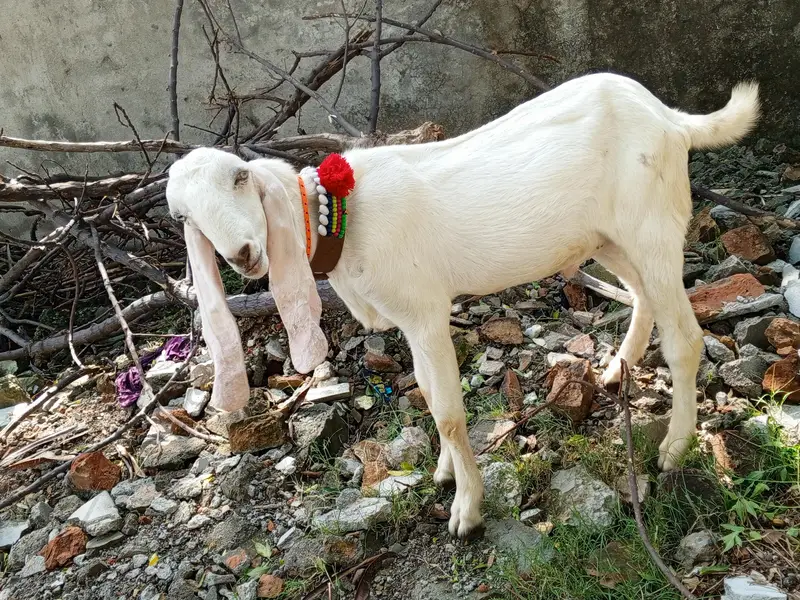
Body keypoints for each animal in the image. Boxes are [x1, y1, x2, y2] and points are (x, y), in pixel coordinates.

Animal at [166, 72, 759, 539]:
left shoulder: (424, 311)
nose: (243, 254)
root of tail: (671, 119)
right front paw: (445, 474)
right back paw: (617, 369)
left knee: (685, 336)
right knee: (641, 295)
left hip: (652, 223)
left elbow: (449, 413)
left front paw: (467, 510)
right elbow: (430, 397)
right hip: (610, 237)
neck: (344, 218)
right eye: (183, 215)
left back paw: (675, 448)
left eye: (240, 177)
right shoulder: (410, 319)